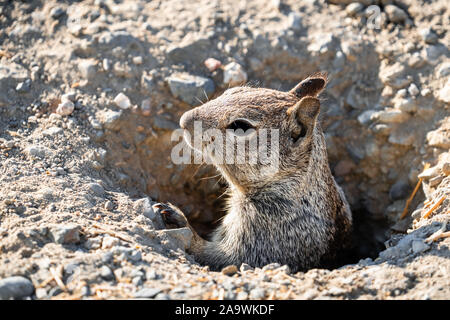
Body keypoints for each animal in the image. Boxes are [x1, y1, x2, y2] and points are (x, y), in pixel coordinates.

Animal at [153, 75, 354, 272]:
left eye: (240, 126)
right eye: (232, 91)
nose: (184, 120)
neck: (289, 184)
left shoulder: (265, 233)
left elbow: (220, 258)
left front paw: (179, 219)